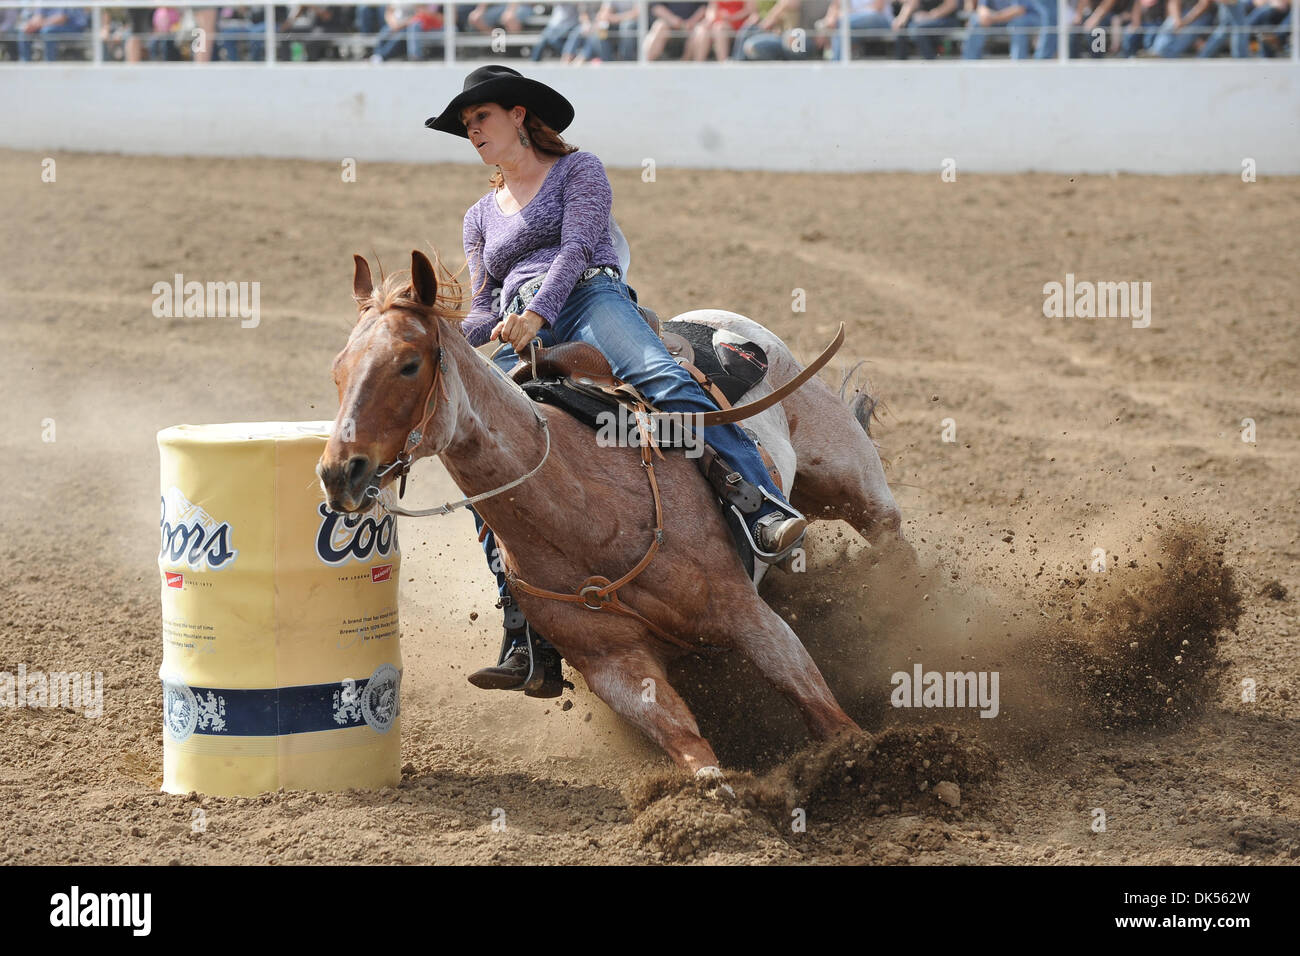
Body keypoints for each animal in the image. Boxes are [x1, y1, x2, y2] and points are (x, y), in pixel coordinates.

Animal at [319, 251, 909, 780]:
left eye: (409, 363)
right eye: (338, 370)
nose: (338, 473)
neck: (589, 520)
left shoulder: (746, 613)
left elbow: (822, 710)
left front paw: (864, 760)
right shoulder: (614, 667)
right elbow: (692, 751)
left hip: (848, 479)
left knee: (890, 535)